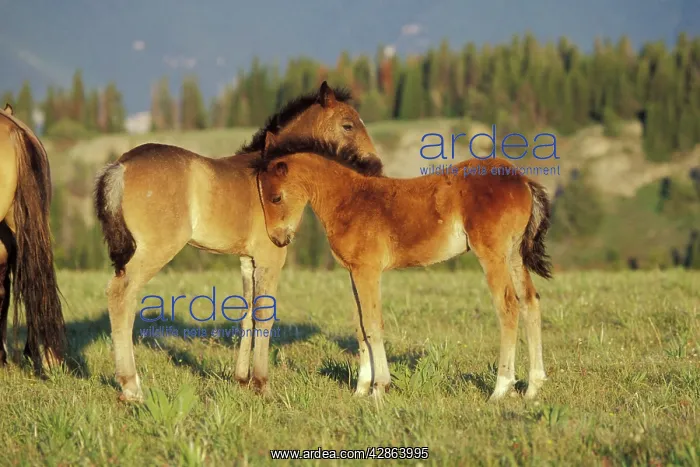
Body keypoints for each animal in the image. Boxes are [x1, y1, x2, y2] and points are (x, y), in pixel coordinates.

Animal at [93, 82, 382, 402]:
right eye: (348, 124)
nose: (376, 165)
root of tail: (121, 165)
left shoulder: (247, 261)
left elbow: (247, 312)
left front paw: (242, 379)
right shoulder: (271, 257)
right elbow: (265, 314)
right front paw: (262, 383)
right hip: (155, 251)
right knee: (121, 294)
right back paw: (131, 386)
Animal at [250, 132, 553, 402]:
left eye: (276, 197)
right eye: (260, 197)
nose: (277, 239)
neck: (349, 199)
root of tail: (523, 180)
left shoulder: (368, 270)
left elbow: (373, 323)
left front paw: (379, 387)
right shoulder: (353, 273)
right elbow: (360, 324)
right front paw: (361, 389)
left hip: (493, 256)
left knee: (508, 306)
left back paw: (501, 389)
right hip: (514, 255)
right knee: (530, 301)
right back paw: (533, 387)